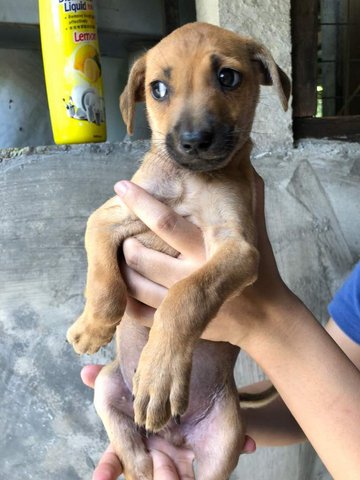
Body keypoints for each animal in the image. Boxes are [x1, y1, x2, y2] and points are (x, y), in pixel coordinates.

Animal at [66, 22, 290, 480]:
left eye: (228, 77)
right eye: (158, 88)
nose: (194, 141)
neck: (191, 180)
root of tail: (175, 436)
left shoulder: (238, 247)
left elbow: (187, 294)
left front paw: (160, 375)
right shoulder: (115, 212)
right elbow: (103, 274)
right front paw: (93, 326)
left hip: (225, 439)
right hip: (107, 391)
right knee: (138, 461)